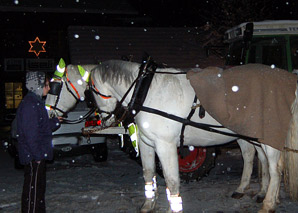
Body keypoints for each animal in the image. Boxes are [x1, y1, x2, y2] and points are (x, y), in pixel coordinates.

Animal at [44, 60, 296, 213]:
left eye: (56, 86)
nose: (49, 114)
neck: (144, 91)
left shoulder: (165, 146)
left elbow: (172, 180)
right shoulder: (146, 143)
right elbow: (148, 173)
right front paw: (148, 204)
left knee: (274, 168)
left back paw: (269, 203)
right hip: (254, 134)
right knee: (257, 158)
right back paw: (257, 192)